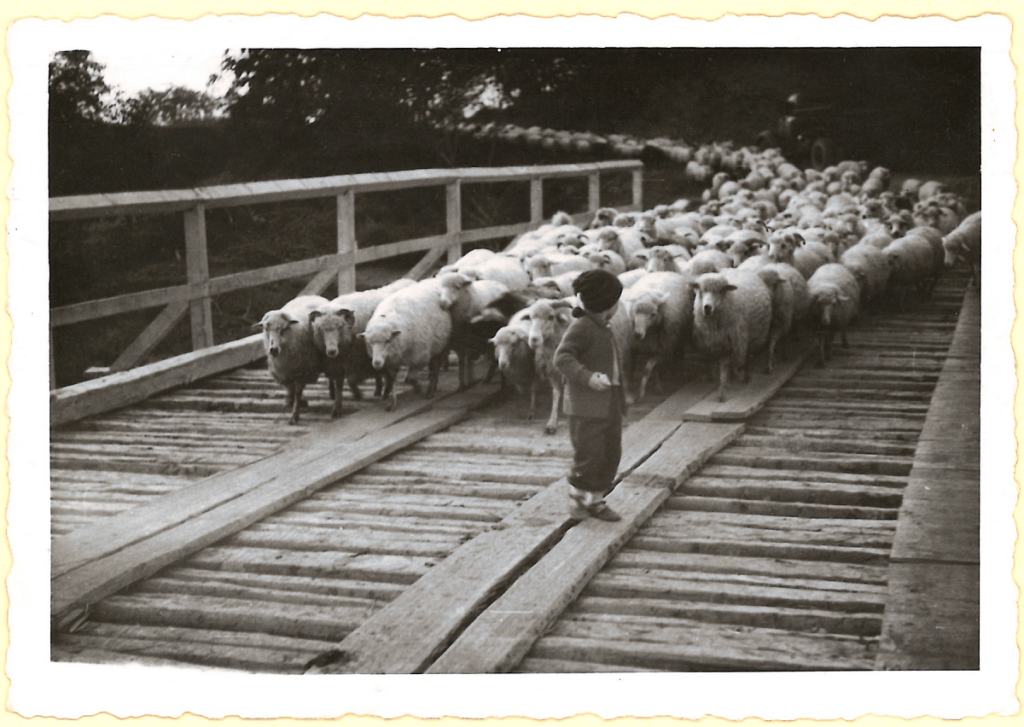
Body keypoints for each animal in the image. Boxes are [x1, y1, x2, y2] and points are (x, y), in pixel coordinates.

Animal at [251, 292, 327, 423]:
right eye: (266, 329)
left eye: (284, 329)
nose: (273, 349)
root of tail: (312, 295)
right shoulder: (284, 373)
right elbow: (289, 389)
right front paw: (289, 402)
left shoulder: (302, 372)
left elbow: (297, 392)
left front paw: (294, 414)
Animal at [688, 268, 770, 401]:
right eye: (701, 290)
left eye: (721, 291)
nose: (707, 307)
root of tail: (740, 269)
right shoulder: (711, 343)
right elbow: (713, 363)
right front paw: (718, 380)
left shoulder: (728, 344)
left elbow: (724, 368)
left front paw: (722, 393)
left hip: (751, 337)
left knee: (748, 357)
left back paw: (746, 376)